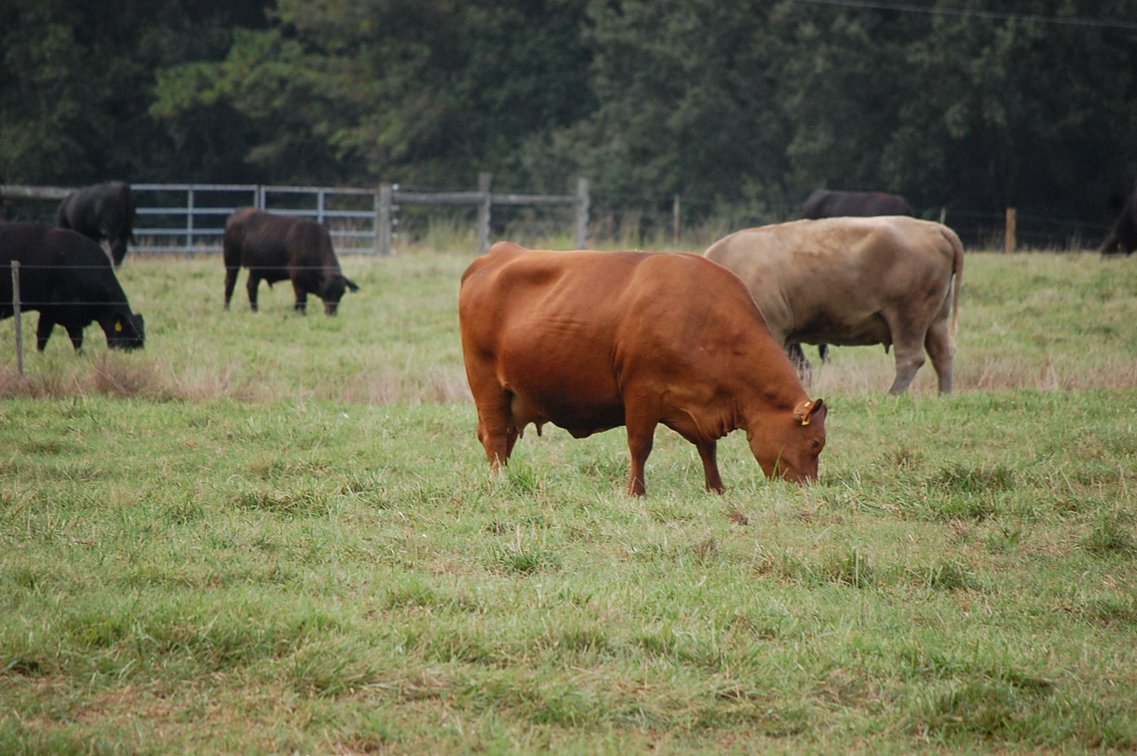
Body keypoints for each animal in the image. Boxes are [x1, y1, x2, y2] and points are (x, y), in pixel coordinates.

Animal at [0, 223, 145, 351]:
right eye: (129, 334)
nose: (139, 351)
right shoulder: (70, 310)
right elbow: (77, 338)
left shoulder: (48, 311)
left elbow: (42, 336)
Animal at [222, 208, 359, 315]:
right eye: (327, 290)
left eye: (341, 293)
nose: (332, 313)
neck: (311, 242)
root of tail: (235, 215)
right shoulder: (297, 278)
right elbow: (301, 300)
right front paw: (301, 314)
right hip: (232, 261)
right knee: (230, 283)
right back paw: (226, 308)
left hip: (256, 269)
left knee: (251, 286)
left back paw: (255, 310)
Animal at [458, 241, 827, 496]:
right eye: (815, 444)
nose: (808, 491)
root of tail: (498, 254)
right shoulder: (641, 392)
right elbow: (640, 445)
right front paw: (635, 492)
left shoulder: (697, 406)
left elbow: (708, 448)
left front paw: (716, 489)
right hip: (487, 386)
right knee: (494, 437)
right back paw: (500, 482)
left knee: (505, 438)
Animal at [705, 217, 963, 395]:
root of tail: (935, 229)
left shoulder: (773, 330)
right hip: (936, 319)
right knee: (942, 353)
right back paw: (944, 395)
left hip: (908, 317)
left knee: (910, 357)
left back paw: (892, 395)